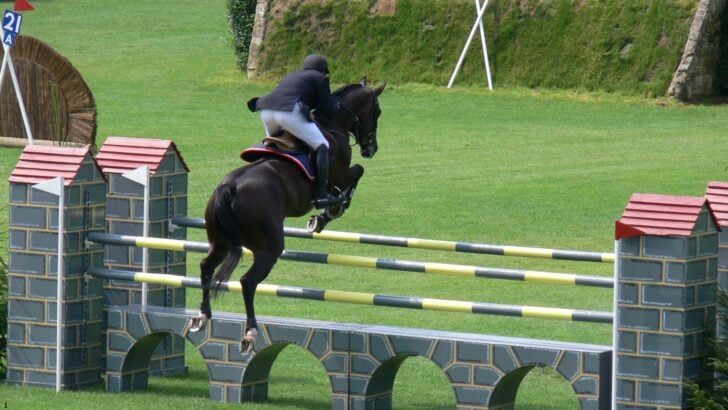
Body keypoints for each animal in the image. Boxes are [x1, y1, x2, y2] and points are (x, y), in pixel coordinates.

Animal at [189, 79, 386, 353]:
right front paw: (327, 212)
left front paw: (325, 213)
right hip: (269, 246)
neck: (332, 125)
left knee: (206, 267)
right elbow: (356, 173)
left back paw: (203, 316)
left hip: (220, 241)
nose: (371, 148)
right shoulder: (339, 173)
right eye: (377, 111)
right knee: (248, 282)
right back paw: (250, 332)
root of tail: (228, 188)